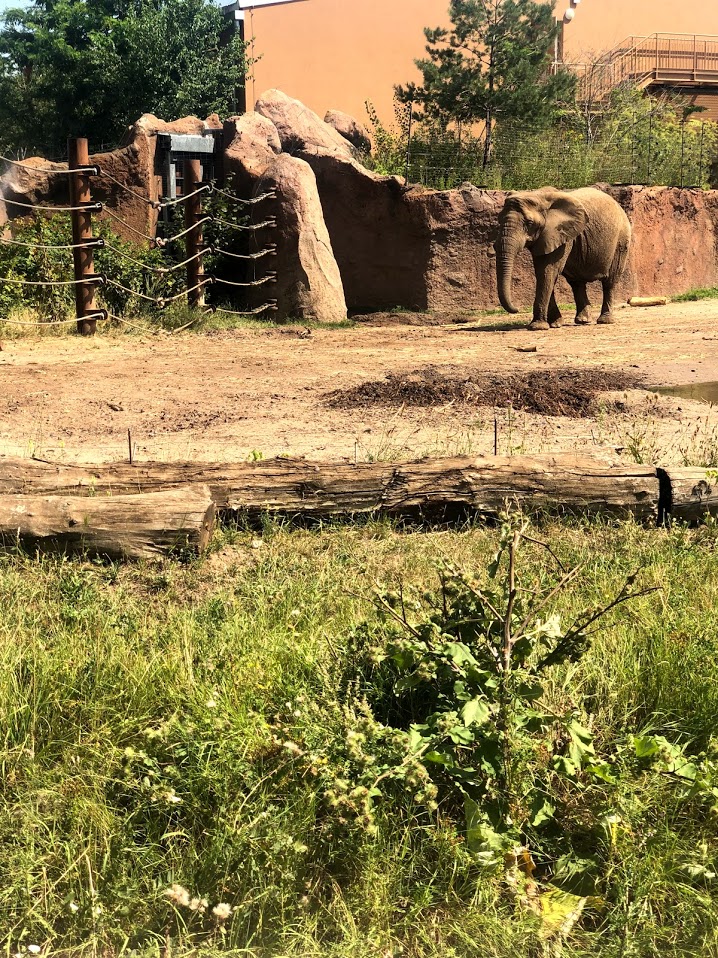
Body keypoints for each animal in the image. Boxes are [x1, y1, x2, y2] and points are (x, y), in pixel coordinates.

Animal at [495, 186, 632, 331]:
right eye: (499, 220)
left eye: (529, 223)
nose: (516, 309)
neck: (539, 195)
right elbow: (543, 273)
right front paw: (555, 324)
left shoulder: (561, 233)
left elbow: (548, 271)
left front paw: (538, 327)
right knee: (577, 282)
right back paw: (583, 320)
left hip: (621, 240)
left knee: (609, 281)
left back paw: (605, 320)